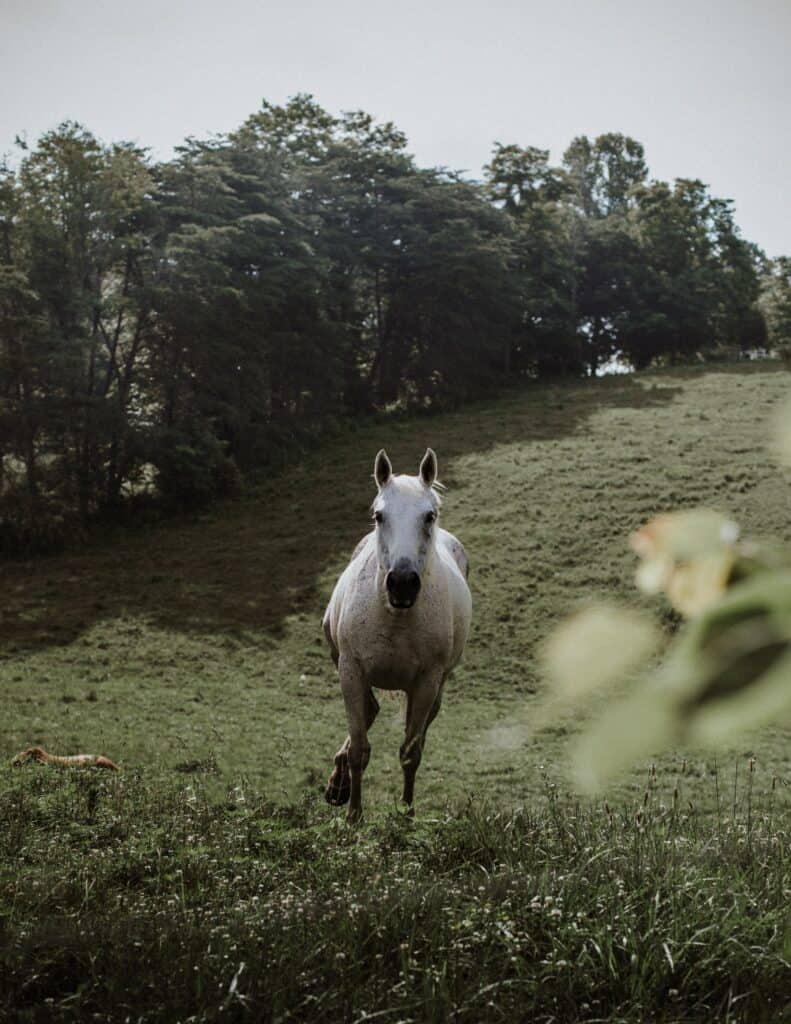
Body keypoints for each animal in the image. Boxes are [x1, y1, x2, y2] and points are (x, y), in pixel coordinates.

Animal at [321, 448, 469, 823]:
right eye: (379, 515)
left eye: (429, 515)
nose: (402, 583)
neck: (395, 617)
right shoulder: (351, 669)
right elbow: (359, 749)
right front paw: (353, 816)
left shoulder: (426, 682)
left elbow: (410, 753)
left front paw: (406, 813)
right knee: (369, 711)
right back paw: (338, 785)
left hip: (437, 687)